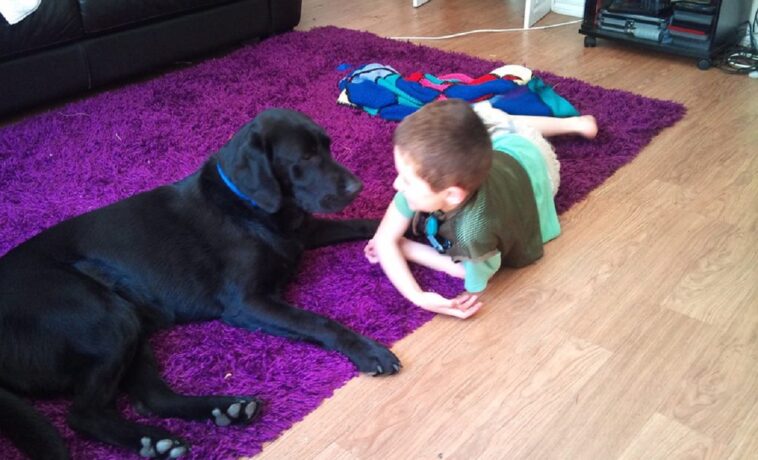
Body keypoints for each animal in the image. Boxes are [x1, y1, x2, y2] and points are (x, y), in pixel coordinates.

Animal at [0, 109, 400, 458]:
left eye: (328, 146)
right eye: (305, 156)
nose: (358, 186)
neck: (249, 204)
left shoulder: (303, 232)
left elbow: (364, 224)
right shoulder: (248, 303)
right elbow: (319, 321)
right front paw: (368, 350)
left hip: (129, 322)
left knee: (151, 399)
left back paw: (220, 413)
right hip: (105, 316)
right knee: (83, 414)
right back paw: (152, 439)